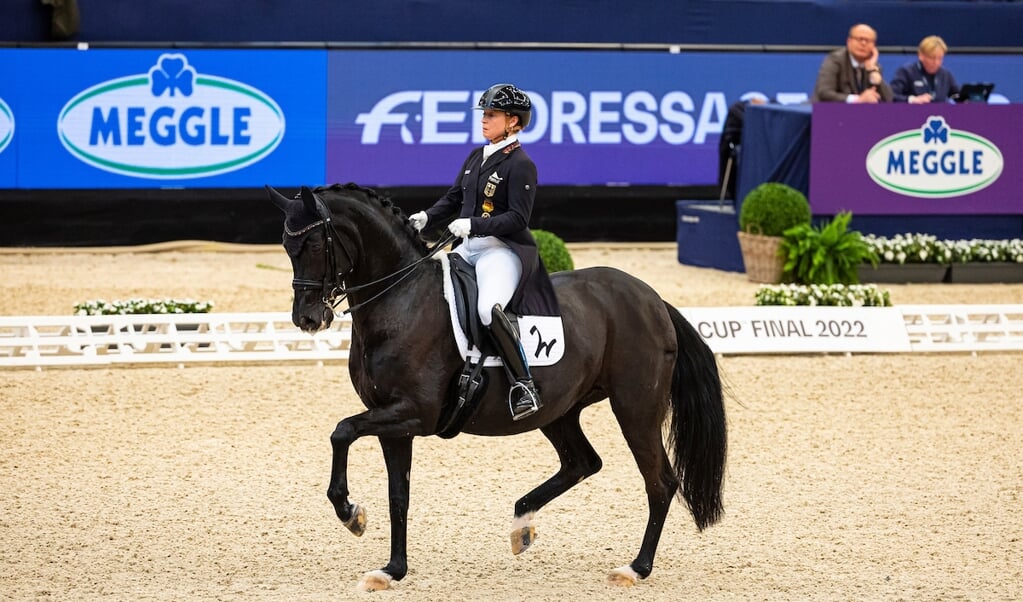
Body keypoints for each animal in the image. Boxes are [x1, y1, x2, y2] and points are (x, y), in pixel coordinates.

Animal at [268, 184, 724, 593]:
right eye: (288, 246)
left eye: (314, 243)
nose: (307, 319)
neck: (401, 300)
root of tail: (651, 298)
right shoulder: (393, 422)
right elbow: (399, 494)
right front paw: (391, 570)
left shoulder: (412, 413)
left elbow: (341, 431)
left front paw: (350, 513)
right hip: (558, 410)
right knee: (582, 462)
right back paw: (522, 524)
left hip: (635, 408)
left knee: (659, 481)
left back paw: (635, 568)